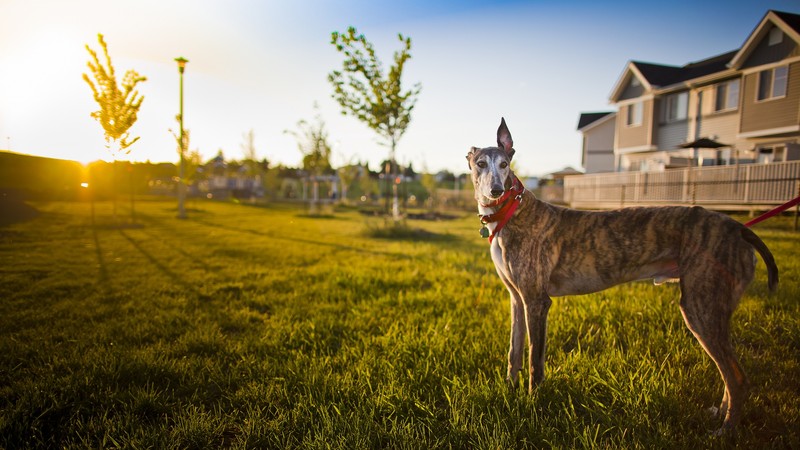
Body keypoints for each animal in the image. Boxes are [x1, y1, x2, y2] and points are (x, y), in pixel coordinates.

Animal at [466, 118, 780, 434]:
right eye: (480, 163)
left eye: (504, 164)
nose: (495, 190)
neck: (512, 212)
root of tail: (737, 228)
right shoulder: (517, 299)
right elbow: (514, 352)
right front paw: (510, 390)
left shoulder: (537, 301)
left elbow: (535, 360)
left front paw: (533, 404)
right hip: (713, 308)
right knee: (730, 373)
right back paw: (720, 415)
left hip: (700, 307)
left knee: (737, 378)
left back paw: (725, 431)